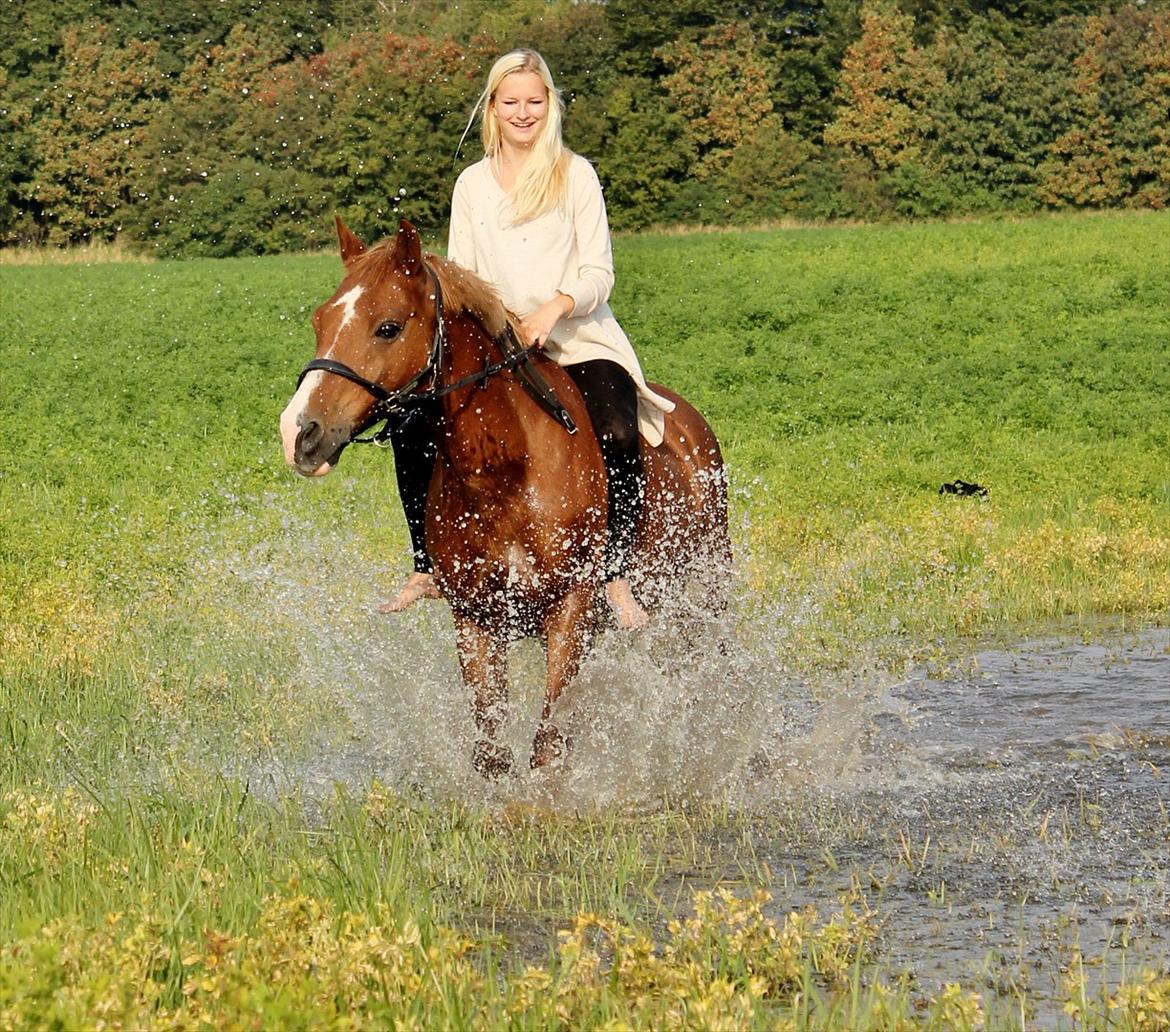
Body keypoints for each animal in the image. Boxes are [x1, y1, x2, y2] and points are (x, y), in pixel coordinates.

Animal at [280, 218, 730, 777]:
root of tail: (690, 424)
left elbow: (548, 747)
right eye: (320, 321)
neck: (505, 473)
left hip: (705, 590)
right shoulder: (476, 620)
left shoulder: (570, 613)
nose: (298, 433)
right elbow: (492, 750)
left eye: (387, 327)